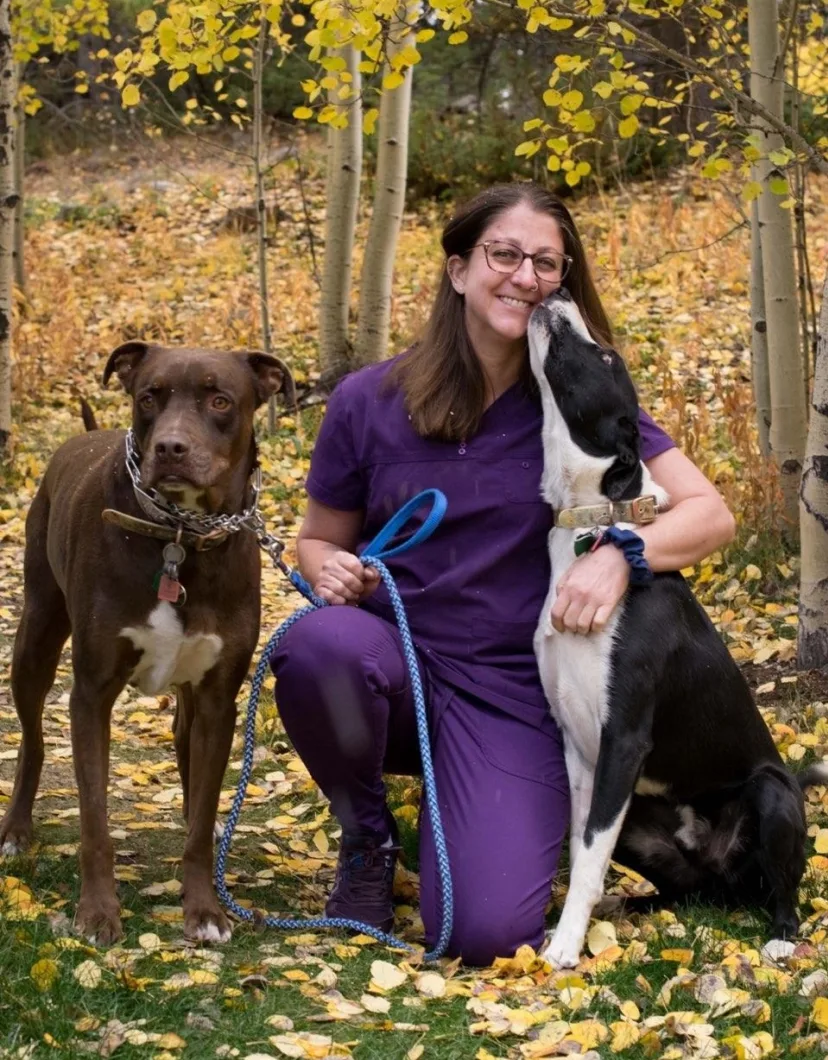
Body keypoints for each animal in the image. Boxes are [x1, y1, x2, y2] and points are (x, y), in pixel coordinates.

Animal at [0, 341, 292, 945]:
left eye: (220, 400)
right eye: (149, 396)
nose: (170, 448)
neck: (180, 536)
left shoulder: (218, 697)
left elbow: (201, 821)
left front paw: (205, 909)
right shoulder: (91, 693)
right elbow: (95, 821)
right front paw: (96, 914)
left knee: (184, 748)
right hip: (36, 634)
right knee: (33, 739)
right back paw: (16, 830)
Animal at [525, 288, 818, 970]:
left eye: (606, 356)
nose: (557, 291)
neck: (592, 520)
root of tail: (731, 881)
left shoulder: (623, 739)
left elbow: (586, 856)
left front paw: (565, 949)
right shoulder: (580, 749)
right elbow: (582, 846)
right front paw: (571, 928)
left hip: (771, 794)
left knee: (784, 890)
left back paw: (780, 936)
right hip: (644, 820)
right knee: (687, 891)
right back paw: (632, 906)